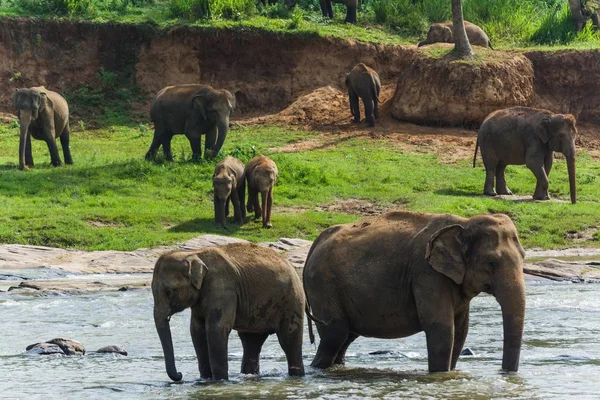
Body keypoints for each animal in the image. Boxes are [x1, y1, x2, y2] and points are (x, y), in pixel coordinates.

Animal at [152, 242, 308, 382]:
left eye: (169, 291)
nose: (180, 374)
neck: (194, 254)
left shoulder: (222, 288)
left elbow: (216, 329)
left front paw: (219, 381)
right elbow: (197, 331)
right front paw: (204, 380)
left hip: (292, 301)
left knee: (289, 339)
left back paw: (296, 376)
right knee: (251, 341)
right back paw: (249, 376)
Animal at [304, 211, 524, 374]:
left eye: (523, 257)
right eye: (491, 263)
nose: (505, 373)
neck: (464, 223)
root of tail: (316, 242)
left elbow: (461, 331)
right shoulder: (427, 273)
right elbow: (441, 327)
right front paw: (440, 376)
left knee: (346, 337)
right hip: (323, 285)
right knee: (335, 334)